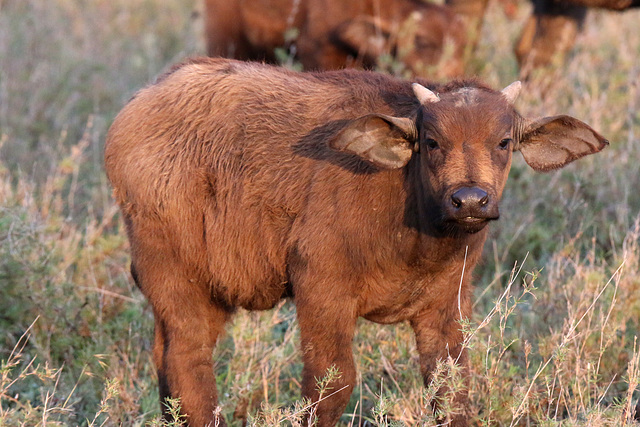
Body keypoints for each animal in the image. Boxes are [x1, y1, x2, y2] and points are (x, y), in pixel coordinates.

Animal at [102, 57, 608, 427]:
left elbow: (453, 387)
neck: (416, 230)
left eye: (504, 142)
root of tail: (136, 109)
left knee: (166, 362)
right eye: (431, 141)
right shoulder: (320, 290)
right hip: (175, 278)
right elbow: (331, 386)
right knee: (188, 366)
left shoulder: (448, 302)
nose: (469, 200)